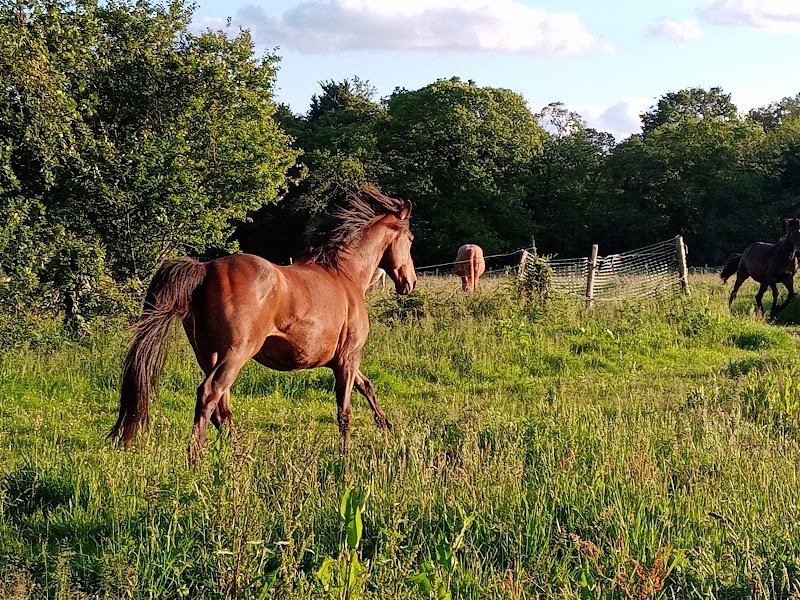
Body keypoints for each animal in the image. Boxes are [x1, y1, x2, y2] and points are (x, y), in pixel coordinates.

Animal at [110, 188, 417, 460]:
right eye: (410, 238)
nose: (410, 282)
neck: (345, 276)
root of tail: (206, 269)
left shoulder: (340, 360)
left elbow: (367, 387)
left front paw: (387, 428)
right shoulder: (349, 358)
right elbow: (345, 410)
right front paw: (346, 454)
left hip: (208, 355)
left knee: (222, 408)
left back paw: (237, 454)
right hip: (236, 353)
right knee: (210, 394)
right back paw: (196, 457)